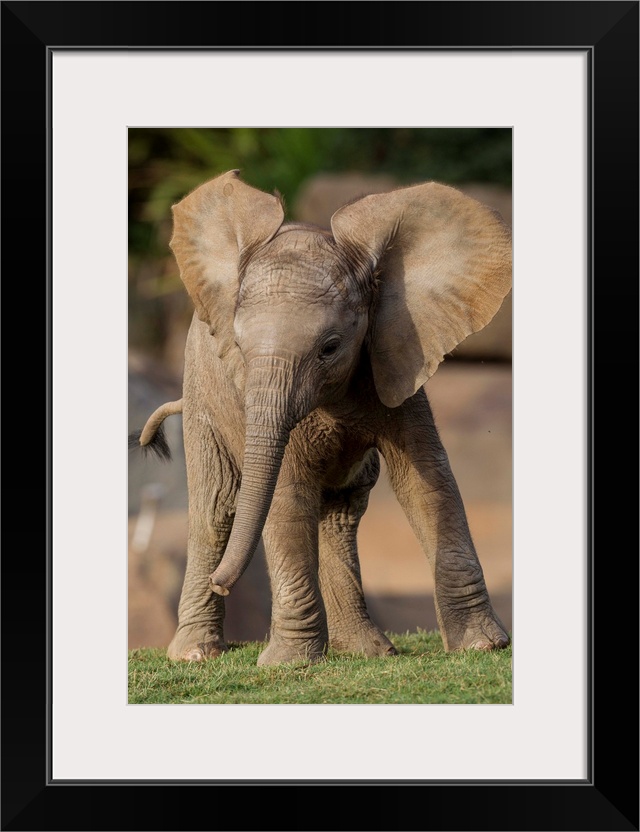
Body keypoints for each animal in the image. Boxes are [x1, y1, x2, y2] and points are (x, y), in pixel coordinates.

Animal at [130, 167, 510, 664]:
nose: (225, 583)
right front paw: (289, 664)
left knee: (341, 511)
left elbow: (428, 483)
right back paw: (196, 654)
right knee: (215, 511)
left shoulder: (395, 360)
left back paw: (368, 652)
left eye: (330, 348)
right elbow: (286, 496)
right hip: (199, 392)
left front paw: (483, 646)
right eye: (238, 346)